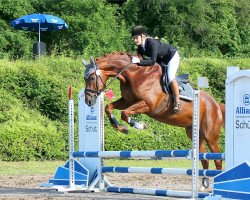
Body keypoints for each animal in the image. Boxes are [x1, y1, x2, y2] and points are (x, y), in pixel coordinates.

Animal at [82, 51, 225, 186]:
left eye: (92, 78)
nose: (88, 101)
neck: (134, 74)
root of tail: (215, 103)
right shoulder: (127, 101)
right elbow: (109, 107)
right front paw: (121, 128)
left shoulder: (147, 105)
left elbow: (124, 113)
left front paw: (139, 125)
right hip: (194, 133)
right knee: (204, 159)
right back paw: (204, 185)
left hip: (210, 135)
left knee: (217, 159)